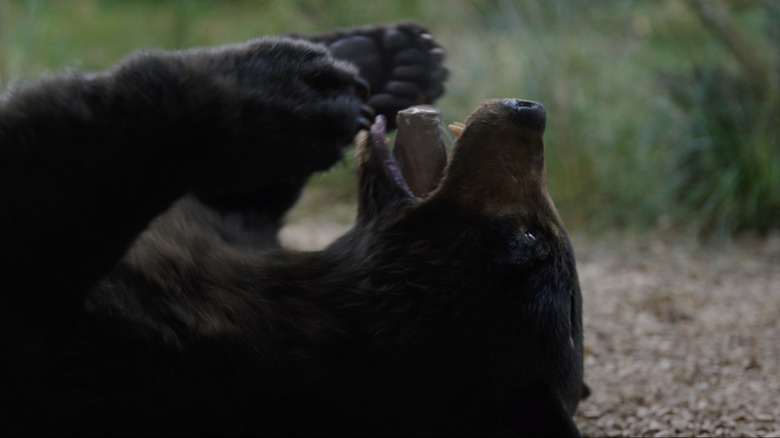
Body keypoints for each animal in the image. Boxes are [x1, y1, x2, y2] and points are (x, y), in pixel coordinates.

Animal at [0, 21, 584, 438]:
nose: (531, 110)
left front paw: (285, 95)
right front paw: (383, 62)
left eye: (530, 240)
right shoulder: (229, 237)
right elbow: (239, 199)